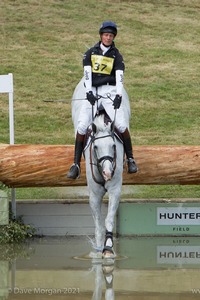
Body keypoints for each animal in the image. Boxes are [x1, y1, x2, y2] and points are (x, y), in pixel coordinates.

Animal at [71, 78, 130, 258]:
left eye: (113, 146)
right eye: (95, 147)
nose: (107, 172)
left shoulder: (115, 189)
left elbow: (109, 219)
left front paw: (108, 247)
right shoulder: (94, 194)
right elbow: (98, 224)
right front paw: (98, 249)